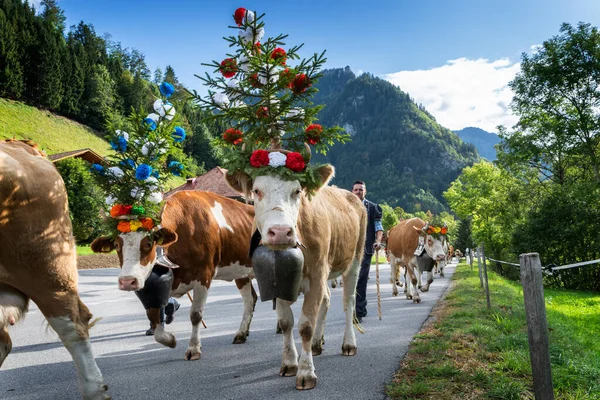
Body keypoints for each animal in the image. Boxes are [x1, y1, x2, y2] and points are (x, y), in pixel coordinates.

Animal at [91, 189, 255, 360]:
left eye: (148, 243)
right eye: (117, 244)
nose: (128, 281)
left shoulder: (204, 275)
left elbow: (195, 314)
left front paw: (193, 348)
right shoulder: (159, 287)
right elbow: (154, 316)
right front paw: (169, 340)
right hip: (242, 274)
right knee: (250, 299)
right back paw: (241, 334)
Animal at [225, 163, 366, 390]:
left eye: (297, 191)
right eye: (256, 191)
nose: (281, 232)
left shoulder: (317, 274)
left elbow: (305, 326)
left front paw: (306, 372)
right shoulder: (278, 280)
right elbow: (285, 323)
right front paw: (290, 363)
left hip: (354, 259)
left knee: (348, 302)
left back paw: (349, 343)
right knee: (327, 300)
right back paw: (317, 343)